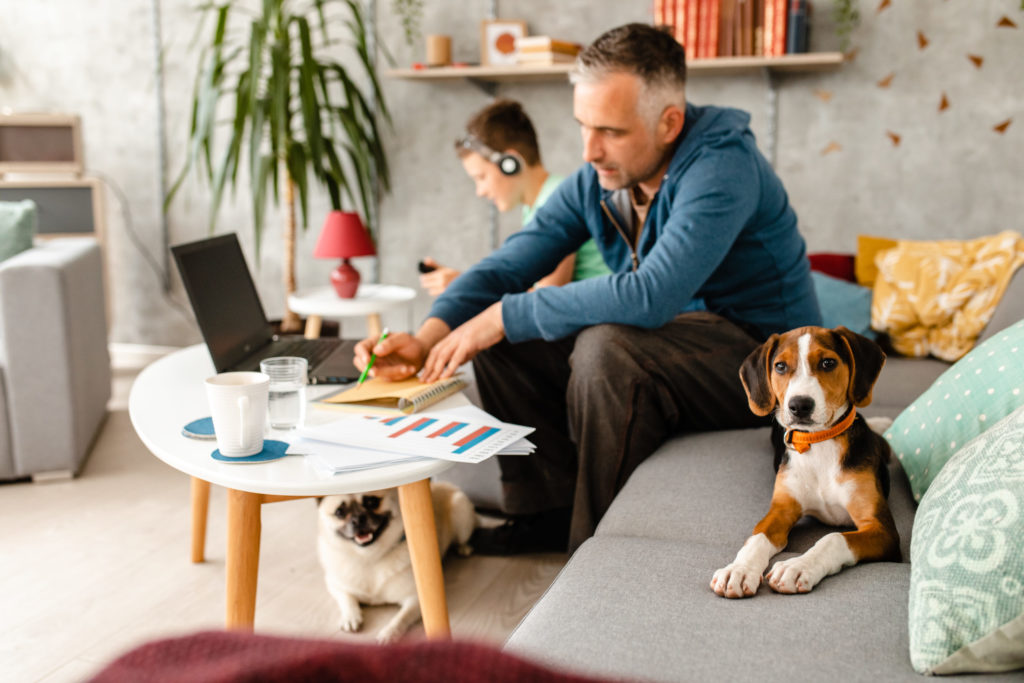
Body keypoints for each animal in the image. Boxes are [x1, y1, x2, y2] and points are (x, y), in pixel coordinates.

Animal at [315, 481, 475, 643]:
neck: (370, 557)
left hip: (460, 513)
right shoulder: (335, 585)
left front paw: (389, 633)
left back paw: (463, 548)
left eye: (372, 502)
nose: (358, 519)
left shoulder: (415, 600)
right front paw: (350, 617)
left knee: (462, 539)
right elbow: (347, 599)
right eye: (339, 512)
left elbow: (401, 618)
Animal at [708, 325, 901, 598]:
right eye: (780, 366)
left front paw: (797, 567)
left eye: (828, 363)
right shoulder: (780, 509)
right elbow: (756, 538)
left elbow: (833, 538)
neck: (819, 441)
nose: (799, 405)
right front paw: (739, 570)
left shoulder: (882, 529)